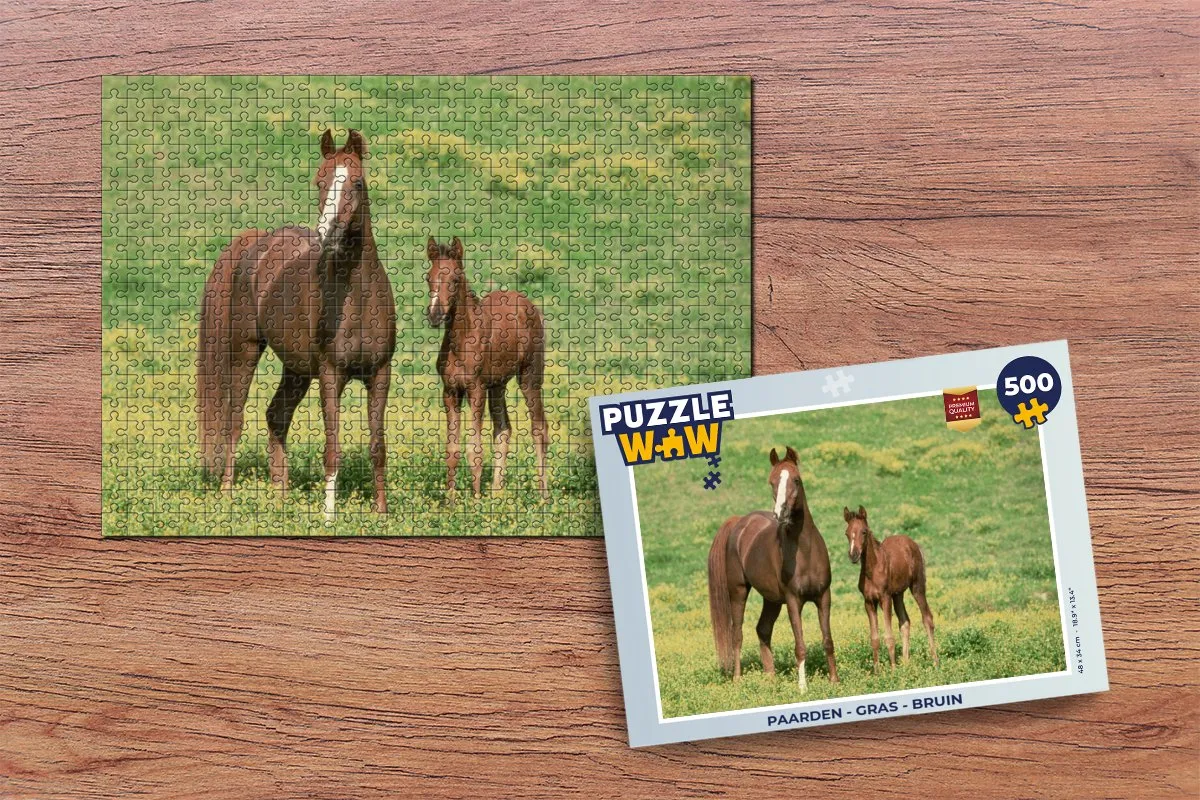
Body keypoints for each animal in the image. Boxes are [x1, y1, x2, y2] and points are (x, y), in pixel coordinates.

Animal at [197, 129, 397, 521]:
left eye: (357, 183)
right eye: (319, 181)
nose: (327, 235)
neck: (358, 297)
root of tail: (256, 243)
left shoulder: (380, 373)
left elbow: (378, 446)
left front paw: (381, 512)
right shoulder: (332, 374)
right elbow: (332, 448)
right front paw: (329, 515)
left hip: (297, 369)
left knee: (277, 416)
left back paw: (281, 497)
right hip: (245, 352)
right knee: (233, 421)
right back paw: (227, 493)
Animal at [424, 237, 548, 500]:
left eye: (455, 279)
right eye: (429, 277)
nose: (435, 315)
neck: (462, 340)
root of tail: (530, 306)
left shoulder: (476, 390)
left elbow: (475, 450)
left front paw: (476, 501)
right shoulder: (450, 391)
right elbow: (452, 450)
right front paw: (451, 502)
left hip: (529, 376)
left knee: (539, 428)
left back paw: (544, 497)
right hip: (498, 384)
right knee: (503, 429)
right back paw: (497, 493)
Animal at [707, 446, 839, 690]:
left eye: (796, 479)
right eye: (772, 482)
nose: (781, 514)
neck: (805, 551)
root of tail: (739, 522)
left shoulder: (824, 596)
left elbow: (827, 640)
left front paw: (835, 681)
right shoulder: (794, 601)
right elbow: (800, 645)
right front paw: (803, 688)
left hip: (772, 599)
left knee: (763, 629)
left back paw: (770, 678)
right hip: (738, 591)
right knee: (737, 634)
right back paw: (738, 679)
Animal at [843, 505, 939, 670]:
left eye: (864, 531)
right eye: (847, 533)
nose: (853, 555)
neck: (872, 570)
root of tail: (913, 544)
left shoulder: (885, 598)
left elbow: (889, 636)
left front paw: (893, 670)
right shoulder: (869, 602)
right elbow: (874, 638)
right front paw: (877, 672)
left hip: (917, 586)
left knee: (927, 618)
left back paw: (935, 662)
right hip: (898, 594)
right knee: (905, 622)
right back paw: (906, 664)